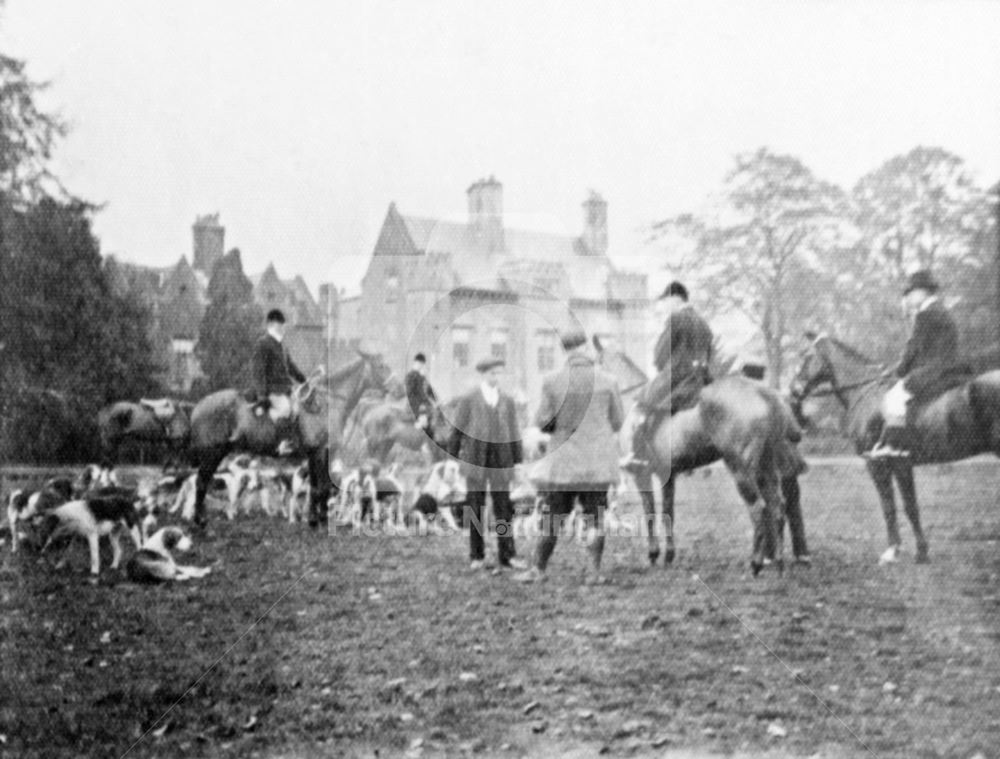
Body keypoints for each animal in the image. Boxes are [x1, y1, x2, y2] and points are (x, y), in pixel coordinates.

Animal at [188, 350, 390, 528]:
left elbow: (317, 488)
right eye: (380, 366)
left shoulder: (316, 454)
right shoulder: (319, 452)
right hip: (212, 453)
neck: (327, 405)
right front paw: (318, 521)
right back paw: (200, 521)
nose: (396, 388)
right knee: (201, 482)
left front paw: (316, 520)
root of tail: (199, 406)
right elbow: (320, 488)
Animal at [632, 374, 812, 576]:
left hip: (741, 471)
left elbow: (650, 513)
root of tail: (764, 393)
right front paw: (668, 555)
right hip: (767, 467)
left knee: (758, 509)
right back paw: (779, 564)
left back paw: (756, 563)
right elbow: (667, 512)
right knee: (778, 508)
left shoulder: (642, 477)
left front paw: (654, 554)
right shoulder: (668, 477)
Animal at [788, 332, 1000, 564]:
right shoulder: (900, 464)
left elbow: (895, 506)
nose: (793, 390)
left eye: (806, 356)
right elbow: (906, 506)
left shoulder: (881, 463)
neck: (866, 394)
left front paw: (897, 552)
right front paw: (916, 551)